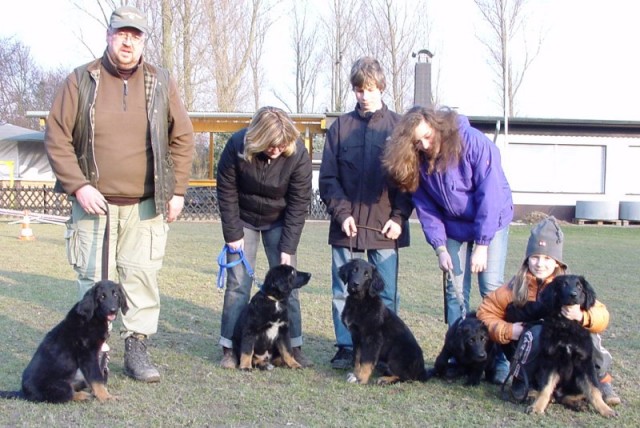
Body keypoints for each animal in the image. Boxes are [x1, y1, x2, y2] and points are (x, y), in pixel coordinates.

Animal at [0, 280, 129, 402]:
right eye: (102, 297)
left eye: (116, 295)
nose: (113, 310)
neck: (93, 317)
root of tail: (22, 392)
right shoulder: (88, 355)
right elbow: (97, 378)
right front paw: (106, 396)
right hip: (59, 386)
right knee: (67, 394)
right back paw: (84, 395)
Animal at [524, 274, 616, 418]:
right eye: (563, 284)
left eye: (579, 286)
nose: (573, 295)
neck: (567, 325)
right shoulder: (550, 360)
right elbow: (545, 387)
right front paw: (537, 407)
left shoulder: (585, 363)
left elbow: (594, 389)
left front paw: (605, 409)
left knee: (573, 396)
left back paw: (578, 404)